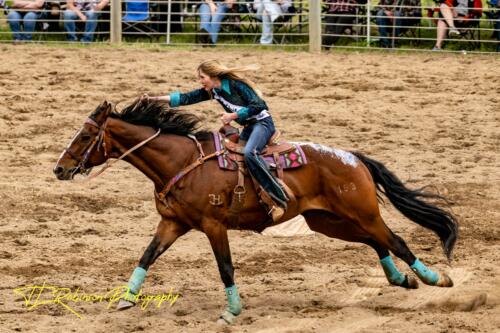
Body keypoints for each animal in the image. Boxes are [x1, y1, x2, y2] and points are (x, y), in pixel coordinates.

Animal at [53, 100, 458, 322]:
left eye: (86, 136)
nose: (59, 168)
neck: (181, 163)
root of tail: (352, 157)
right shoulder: (172, 223)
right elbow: (147, 256)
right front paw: (126, 298)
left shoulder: (214, 226)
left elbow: (225, 267)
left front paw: (231, 311)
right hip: (328, 220)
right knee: (377, 243)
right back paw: (401, 279)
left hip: (362, 212)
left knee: (396, 239)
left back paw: (435, 279)